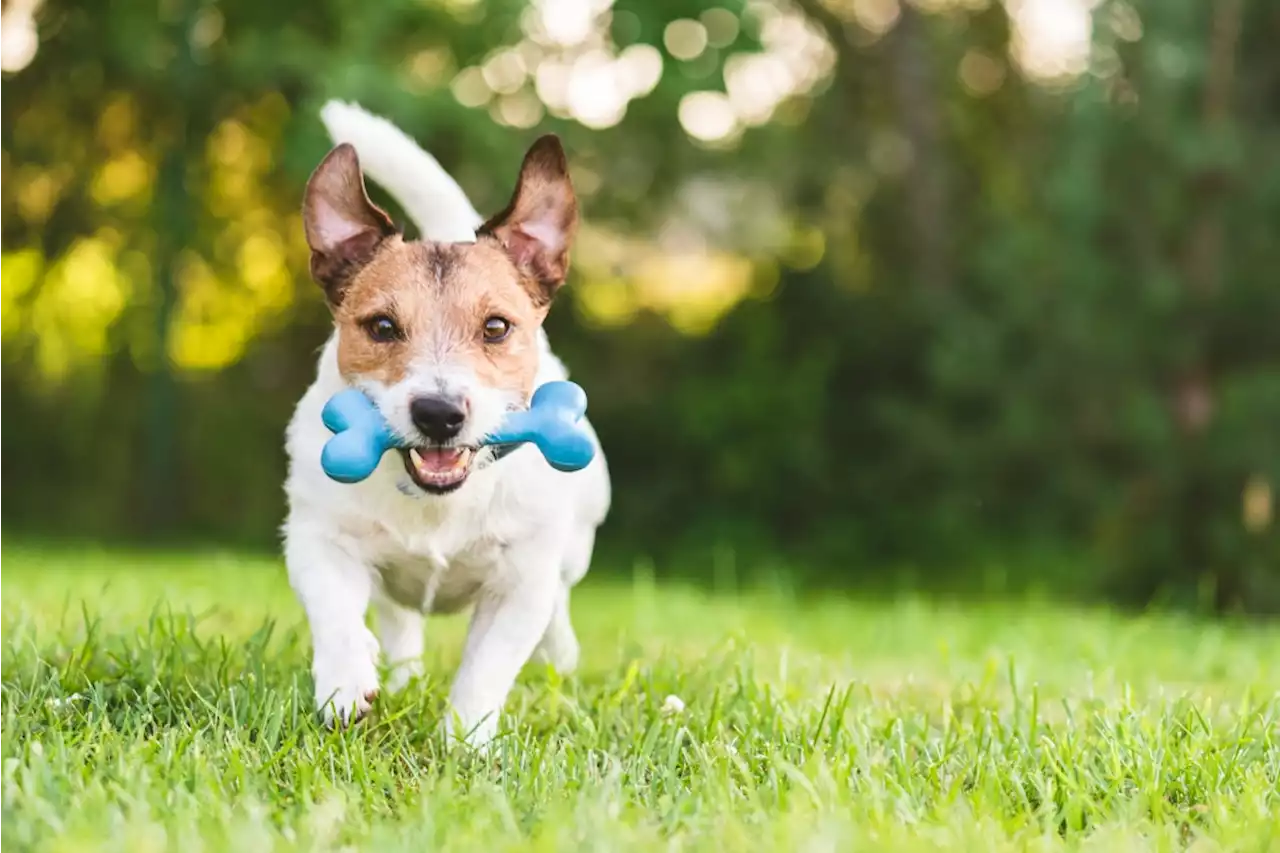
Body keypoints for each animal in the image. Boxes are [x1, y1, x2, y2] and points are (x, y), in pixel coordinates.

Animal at [282, 101, 611, 742]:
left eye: (496, 327)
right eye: (382, 327)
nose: (438, 414)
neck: (437, 500)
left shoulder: (519, 582)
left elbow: (487, 666)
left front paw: (467, 740)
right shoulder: (317, 537)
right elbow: (334, 611)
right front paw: (345, 683)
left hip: (576, 544)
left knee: (559, 605)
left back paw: (559, 659)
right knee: (397, 616)